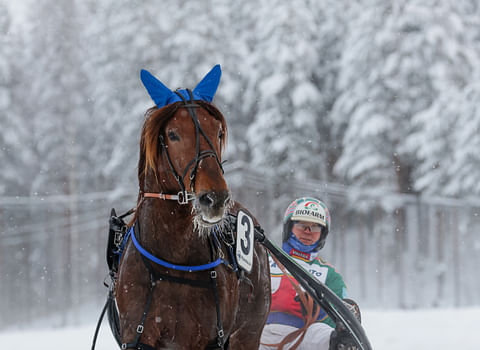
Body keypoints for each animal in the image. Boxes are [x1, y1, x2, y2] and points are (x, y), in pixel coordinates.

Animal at [113, 67, 270, 348]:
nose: (215, 198)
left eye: (218, 132)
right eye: (173, 134)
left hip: (248, 332)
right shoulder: (137, 335)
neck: (175, 260)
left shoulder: (206, 339)